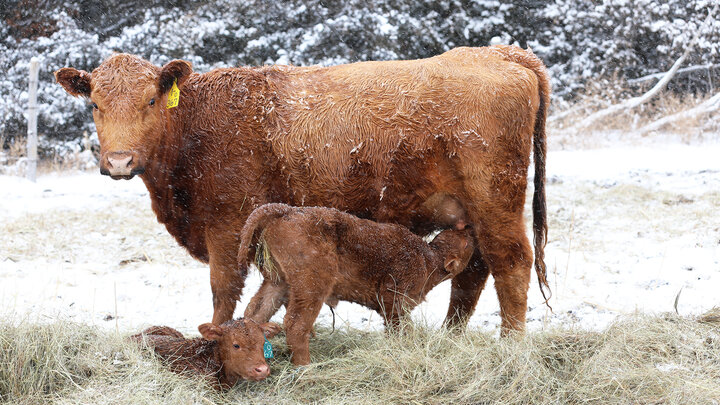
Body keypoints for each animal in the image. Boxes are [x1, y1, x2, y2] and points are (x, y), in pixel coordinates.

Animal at [56, 45, 552, 334]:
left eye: (151, 100)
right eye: (95, 105)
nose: (120, 162)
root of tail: (500, 53)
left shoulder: (226, 226)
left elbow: (223, 291)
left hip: (496, 199)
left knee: (510, 263)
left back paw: (510, 346)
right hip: (469, 211)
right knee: (474, 270)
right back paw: (452, 339)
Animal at [236, 204, 478, 364]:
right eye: (466, 243)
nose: (468, 227)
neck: (428, 259)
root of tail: (286, 210)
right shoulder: (392, 297)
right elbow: (399, 327)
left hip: (278, 282)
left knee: (255, 312)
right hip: (312, 285)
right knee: (295, 324)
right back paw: (306, 367)